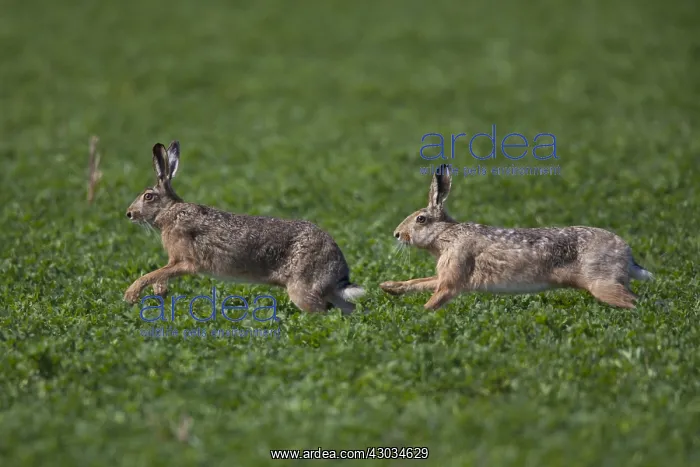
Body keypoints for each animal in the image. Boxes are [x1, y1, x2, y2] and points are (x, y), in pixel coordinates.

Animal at [124, 141, 365, 314]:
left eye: (148, 196)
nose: (129, 214)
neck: (169, 212)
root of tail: (338, 268)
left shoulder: (185, 262)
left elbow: (155, 273)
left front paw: (130, 296)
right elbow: (160, 274)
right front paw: (159, 293)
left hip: (301, 289)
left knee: (322, 311)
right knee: (349, 308)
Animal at [379, 163, 654, 310]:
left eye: (421, 219)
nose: (397, 234)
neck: (447, 234)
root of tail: (627, 254)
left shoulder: (453, 276)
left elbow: (438, 296)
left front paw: (420, 313)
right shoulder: (444, 274)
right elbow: (420, 282)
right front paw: (389, 287)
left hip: (602, 283)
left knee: (636, 302)